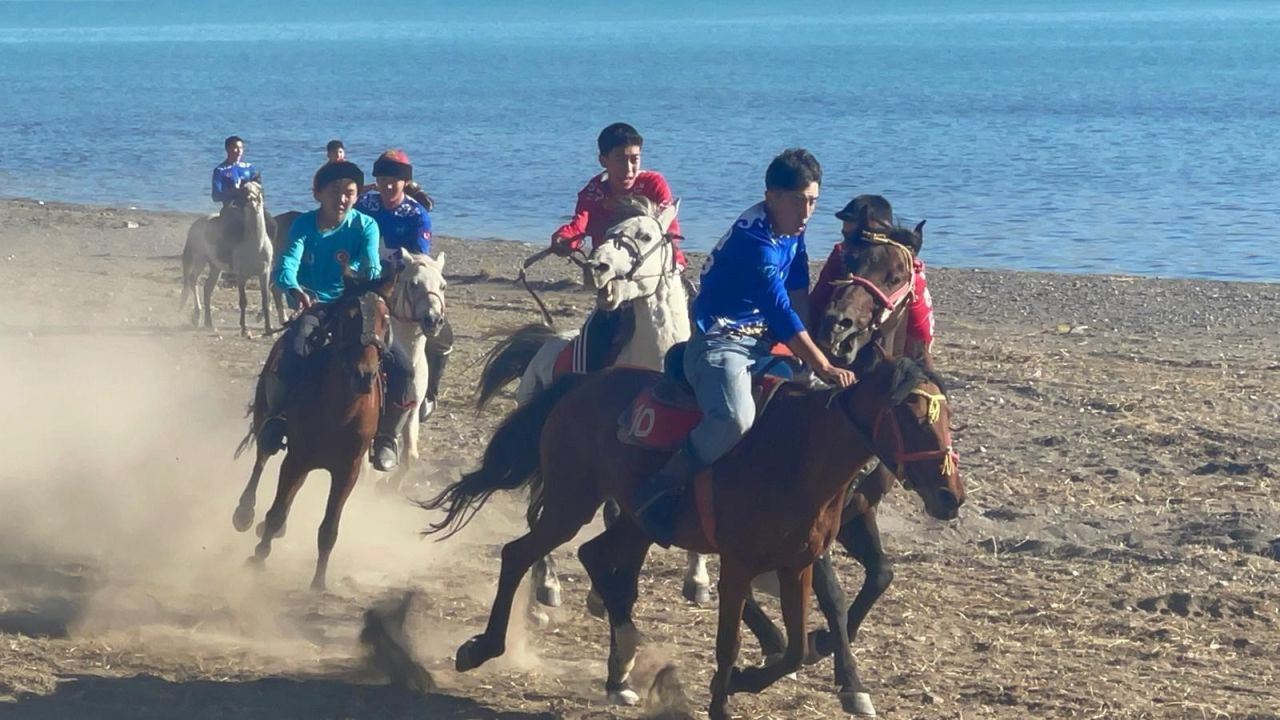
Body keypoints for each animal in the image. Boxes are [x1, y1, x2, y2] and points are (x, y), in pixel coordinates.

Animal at [176, 179, 281, 335]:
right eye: (243, 190)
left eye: (259, 189)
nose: (252, 200)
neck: (256, 244)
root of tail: (196, 224)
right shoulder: (242, 276)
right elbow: (243, 301)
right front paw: (244, 329)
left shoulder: (264, 274)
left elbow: (265, 300)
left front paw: (268, 328)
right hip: (200, 259)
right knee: (192, 280)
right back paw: (197, 316)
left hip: (215, 267)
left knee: (207, 288)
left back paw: (209, 322)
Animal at [230, 270, 396, 589]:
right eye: (349, 315)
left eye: (385, 318)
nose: (365, 374)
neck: (340, 412)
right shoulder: (295, 459)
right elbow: (276, 511)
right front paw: (258, 557)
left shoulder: (347, 471)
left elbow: (329, 528)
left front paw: (318, 582)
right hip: (267, 423)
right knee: (261, 459)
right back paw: (244, 513)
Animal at [417, 348, 962, 717]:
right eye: (911, 414)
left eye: (946, 415)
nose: (950, 495)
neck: (797, 453)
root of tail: (580, 384)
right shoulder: (739, 565)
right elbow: (732, 642)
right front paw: (726, 698)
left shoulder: (798, 564)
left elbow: (796, 648)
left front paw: (746, 680)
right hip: (572, 502)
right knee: (518, 553)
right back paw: (482, 647)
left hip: (635, 520)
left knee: (595, 556)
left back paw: (623, 661)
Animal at [473, 194, 716, 609]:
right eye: (607, 232)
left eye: (646, 235)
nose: (596, 268)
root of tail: (545, 344)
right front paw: (602, 595)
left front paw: (697, 579)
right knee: (538, 512)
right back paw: (546, 586)